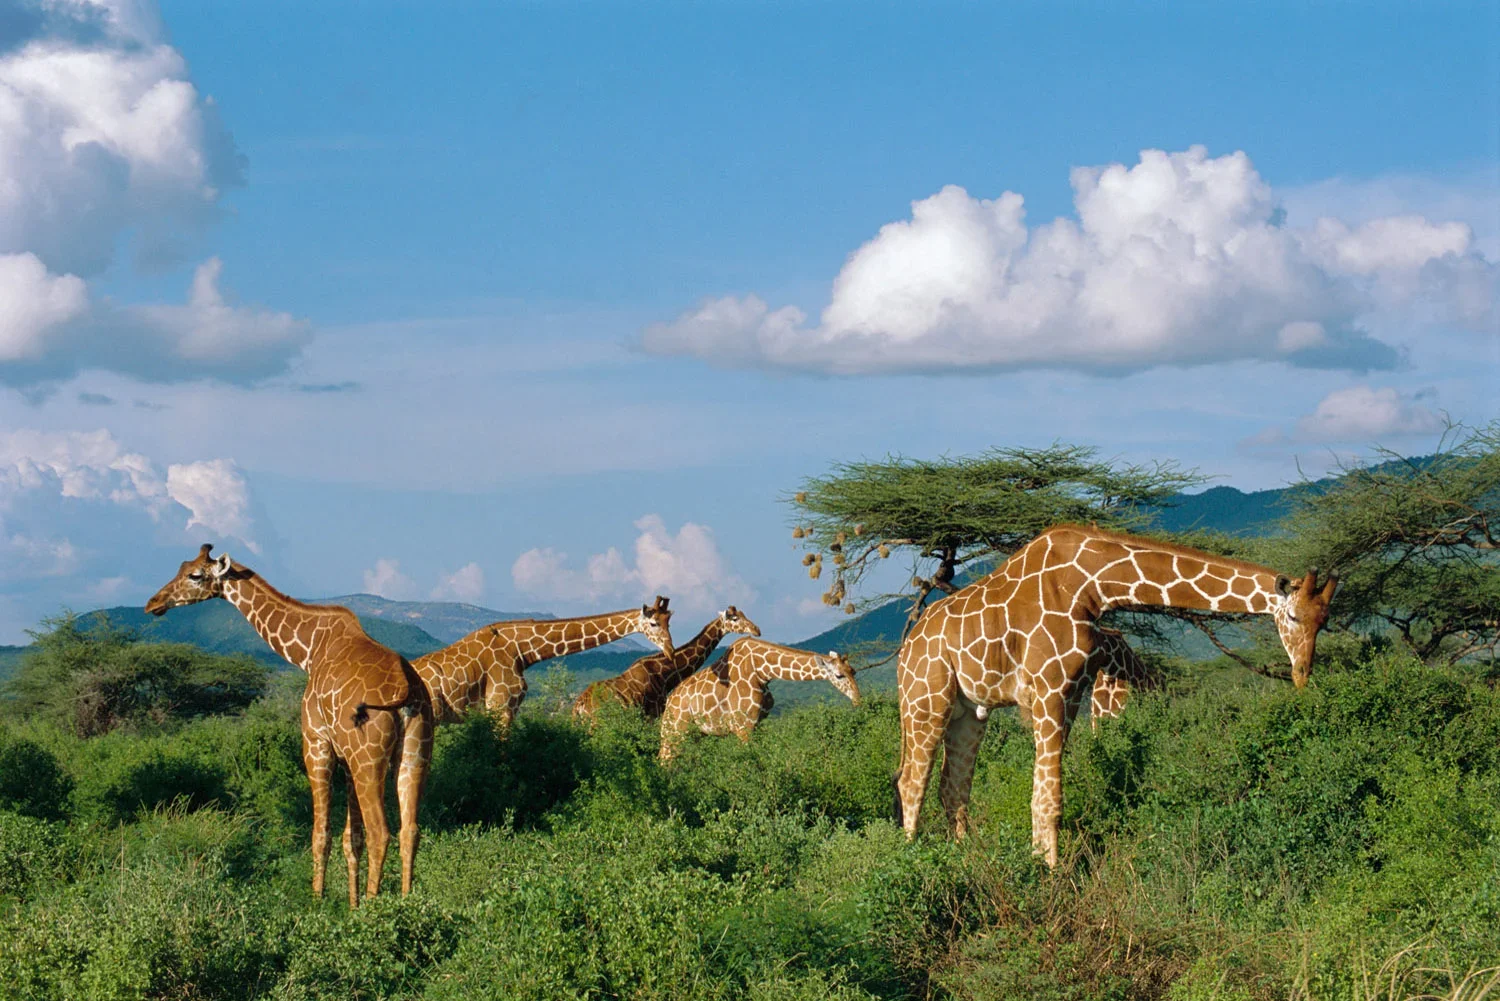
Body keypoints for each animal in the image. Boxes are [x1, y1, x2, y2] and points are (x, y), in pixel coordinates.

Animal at [145, 544, 433, 905]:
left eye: (194, 575)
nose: (153, 603)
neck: (308, 651)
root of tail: (409, 688)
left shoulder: (316, 743)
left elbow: (320, 833)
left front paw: (317, 902)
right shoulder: (346, 757)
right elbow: (351, 839)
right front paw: (351, 906)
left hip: (369, 758)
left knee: (381, 833)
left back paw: (375, 909)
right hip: (414, 754)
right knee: (410, 831)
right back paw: (407, 905)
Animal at [571, 606, 762, 720]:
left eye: (744, 614)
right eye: (734, 619)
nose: (757, 629)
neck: (665, 674)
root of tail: (579, 706)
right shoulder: (655, 713)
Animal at [658, 638, 859, 761]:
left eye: (854, 671)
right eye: (839, 675)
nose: (858, 700)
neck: (762, 671)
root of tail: (669, 702)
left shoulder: (758, 723)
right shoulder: (742, 726)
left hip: (694, 734)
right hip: (676, 732)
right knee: (665, 760)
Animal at [894, 523, 1338, 867]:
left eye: (1324, 622)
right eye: (1293, 615)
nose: (1302, 674)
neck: (1093, 586)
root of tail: (906, 649)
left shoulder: (1072, 692)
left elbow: (1041, 792)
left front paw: (1038, 859)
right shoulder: (1049, 687)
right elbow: (1049, 798)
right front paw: (1050, 874)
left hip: (969, 711)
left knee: (952, 787)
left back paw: (964, 858)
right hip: (926, 699)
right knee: (911, 782)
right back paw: (911, 861)